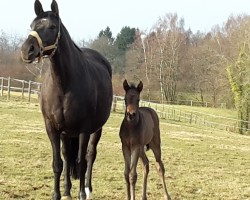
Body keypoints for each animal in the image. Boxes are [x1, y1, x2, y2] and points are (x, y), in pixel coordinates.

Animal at [21, 0, 113, 199]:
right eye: (32, 25)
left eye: (52, 27)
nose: (26, 50)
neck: (64, 85)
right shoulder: (52, 128)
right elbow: (58, 163)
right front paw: (57, 194)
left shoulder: (84, 130)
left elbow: (82, 162)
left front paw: (82, 194)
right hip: (66, 133)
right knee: (68, 156)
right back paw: (67, 190)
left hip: (96, 130)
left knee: (89, 156)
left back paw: (87, 189)